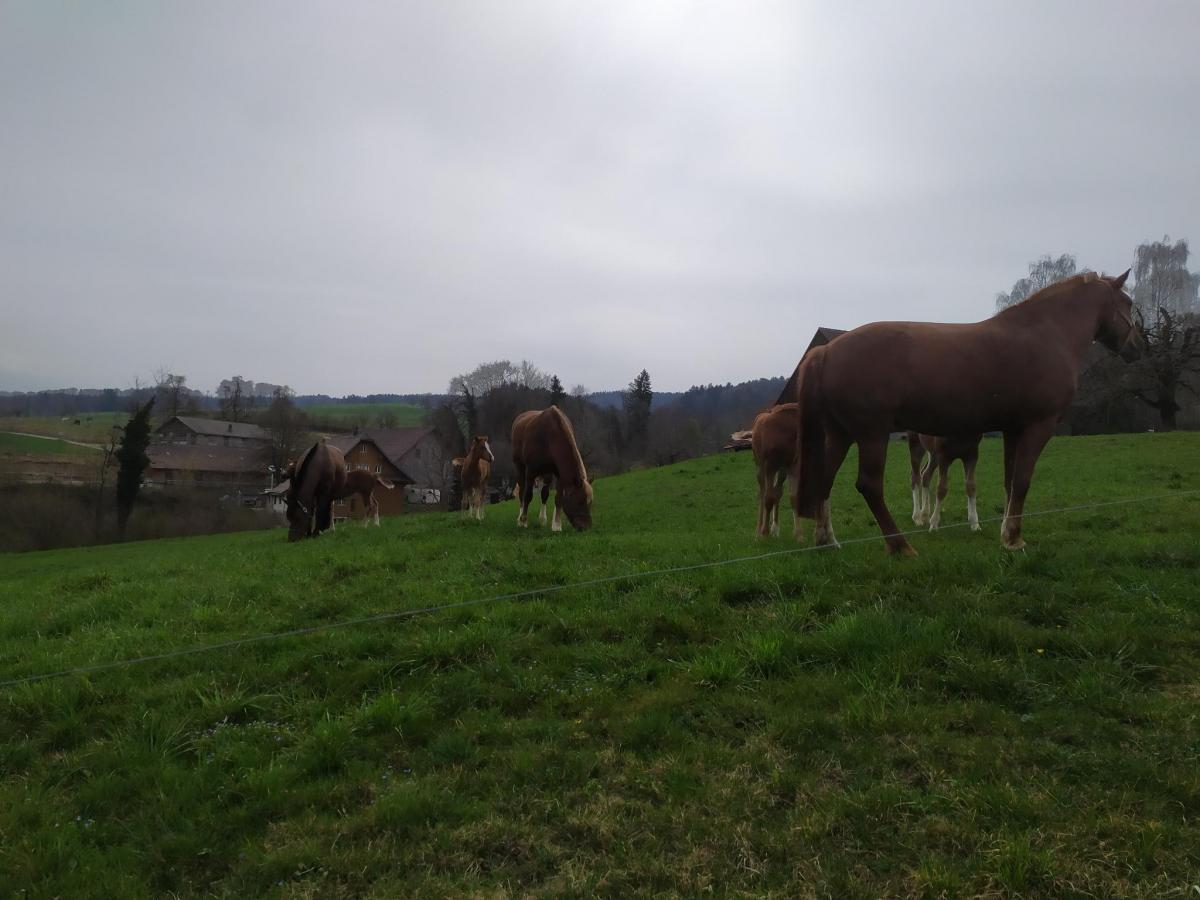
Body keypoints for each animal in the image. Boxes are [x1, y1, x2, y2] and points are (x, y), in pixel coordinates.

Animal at [751, 403, 802, 539]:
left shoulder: (793, 466)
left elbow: (794, 497)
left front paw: (799, 535)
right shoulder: (770, 465)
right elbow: (768, 498)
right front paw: (764, 532)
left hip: (782, 470)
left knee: (777, 491)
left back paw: (775, 529)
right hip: (761, 467)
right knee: (762, 493)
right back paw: (758, 530)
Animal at [794, 270, 1142, 555]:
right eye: (1127, 302)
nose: (1137, 347)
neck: (1046, 334)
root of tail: (826, 351)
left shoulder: (1012, 429)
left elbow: (1010, 482)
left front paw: (1005, 533)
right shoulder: (1038, 426)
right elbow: (1023, 480)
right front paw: (1014, 538)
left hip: (840, 435)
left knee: (824, 479)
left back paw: (827, 540)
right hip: (871, 435)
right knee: (869, 486)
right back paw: (900, 546)